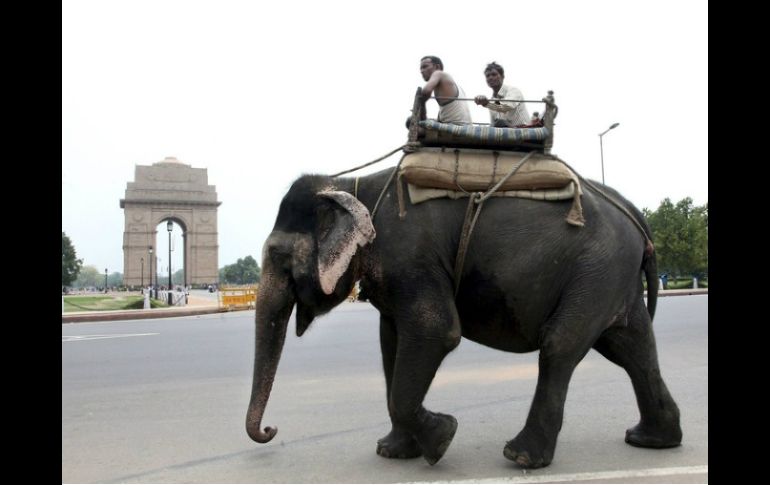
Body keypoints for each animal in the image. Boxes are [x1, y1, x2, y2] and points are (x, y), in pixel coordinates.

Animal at [244, 165, 680, 466]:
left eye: (281, 260)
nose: (270, 429)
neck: (352, 185)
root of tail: (636, 216)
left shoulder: (411, 257)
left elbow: (436, 331)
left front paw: (442, 439)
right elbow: (391, 343)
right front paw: (394, 452)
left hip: (596, 269)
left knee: (561, 346)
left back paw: (521, 456)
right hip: (611, 277)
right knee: (632, 349)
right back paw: (651, 440)